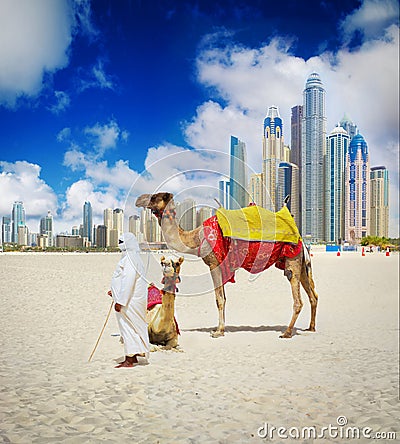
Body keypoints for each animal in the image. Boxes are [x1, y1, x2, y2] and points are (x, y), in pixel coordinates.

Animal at [138, 193, 318, 338]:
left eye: (154, 197)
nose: (138, 200)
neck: (196, 237)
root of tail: (301, 240)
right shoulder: (221, 265)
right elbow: (223, 297)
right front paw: (220, 329)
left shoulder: (214, 263)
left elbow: (219, 299)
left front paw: (218, 331)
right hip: (301, 264)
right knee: (313, 296)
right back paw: (310, 328)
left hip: (292, 258)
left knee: (297, 298)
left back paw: (287, 332)